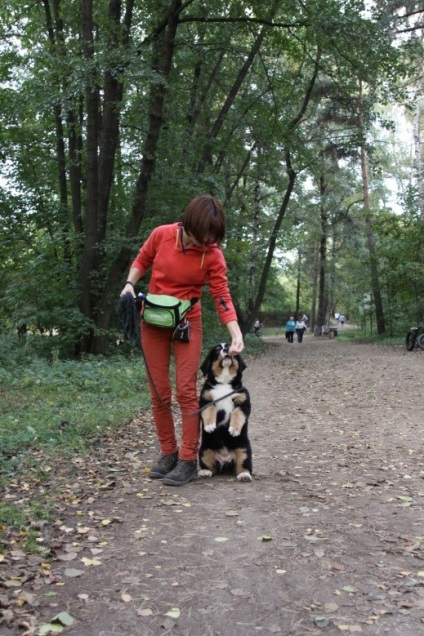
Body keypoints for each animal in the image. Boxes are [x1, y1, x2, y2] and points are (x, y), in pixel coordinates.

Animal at [198, 342, 253, 482]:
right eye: (217, 349)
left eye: (230, 346)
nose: (226, 349)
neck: (224, 383)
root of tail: (225, 461)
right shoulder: (206, 400)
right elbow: (210, 410)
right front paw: (209, 425)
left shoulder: (243, 402)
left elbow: (237, 414)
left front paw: (234, 429)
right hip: (204, 450)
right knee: (210, 468)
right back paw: (204, 472)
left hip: (244, 450)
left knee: (243, 467)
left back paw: (244, 475)